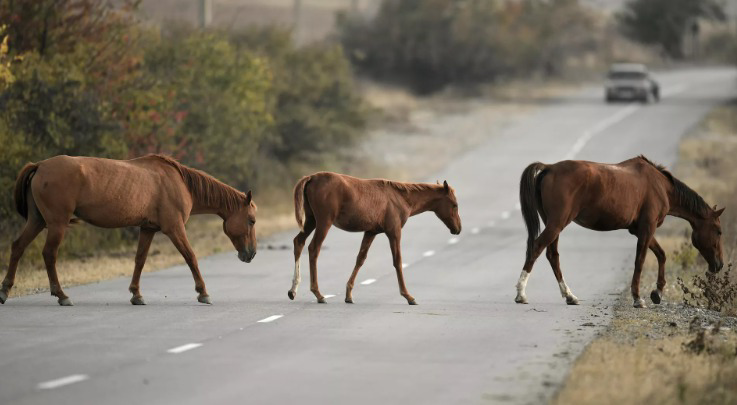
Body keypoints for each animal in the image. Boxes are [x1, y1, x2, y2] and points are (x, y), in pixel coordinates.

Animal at [0, 155, 258, 306]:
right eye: (251, 220)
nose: (251, 253)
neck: (179, 182)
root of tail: (40, 165)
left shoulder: (148, 229)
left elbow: (139, 260)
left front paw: (136, 294)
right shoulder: (174, 228)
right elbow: (191, 257)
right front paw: (203, 292)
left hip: (37, 221)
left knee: (18, 247)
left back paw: (5, 291)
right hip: (56, 224)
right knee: (49, 254)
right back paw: (61, 295)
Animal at [284, 172, 458, 304]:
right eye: (455, 205)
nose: (458, 229)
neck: (400, 197)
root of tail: (311, 177)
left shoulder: (370, 232)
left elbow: (360, 259)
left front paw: (349, 295)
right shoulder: (394, 231)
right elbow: (397, 261)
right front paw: (408, 296)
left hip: (311, 221)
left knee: (298, 242)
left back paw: (293, 290)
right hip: (323, 222)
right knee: (313, 249)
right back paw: (318, 294)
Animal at [516, 155, 724, 306]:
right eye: (719, 231)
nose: (719, 265)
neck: (660, 186)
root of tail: (549, 167)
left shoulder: (640, 230)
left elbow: (661, 255)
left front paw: (657, 292)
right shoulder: (647, 228)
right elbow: (640, 261)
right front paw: (638, 298)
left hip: (554, 225)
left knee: (552, 255)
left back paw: (569, 296)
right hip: (557, 223)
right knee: (536, 247)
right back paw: (521, 293)